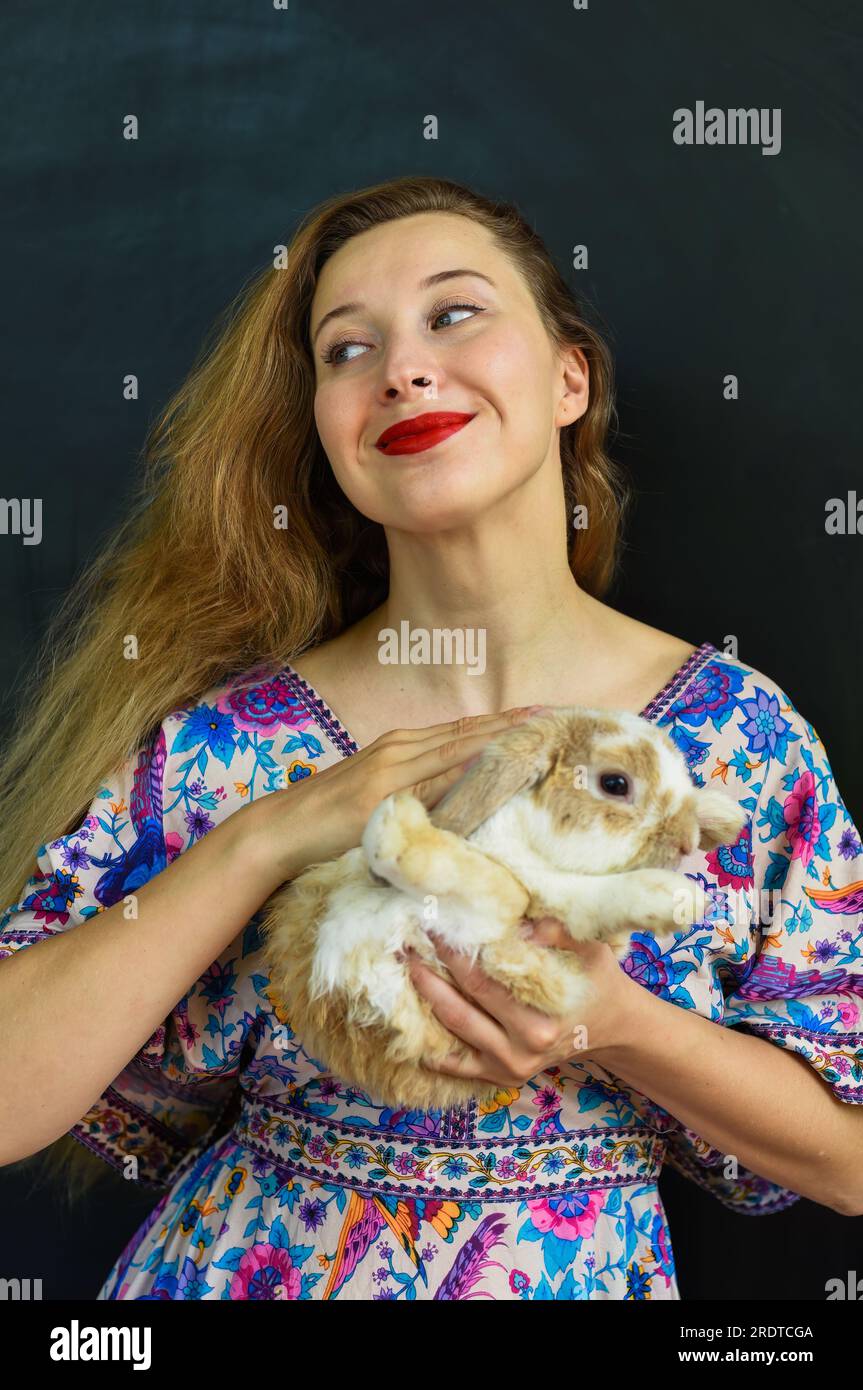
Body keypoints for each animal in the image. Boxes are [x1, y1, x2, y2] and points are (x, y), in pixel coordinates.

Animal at [258, 706, 744, 1106]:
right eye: (615, 783)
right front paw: (676, 896)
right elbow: (554, 892)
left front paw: (720, 819)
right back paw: (398, 826)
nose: (686, 844)